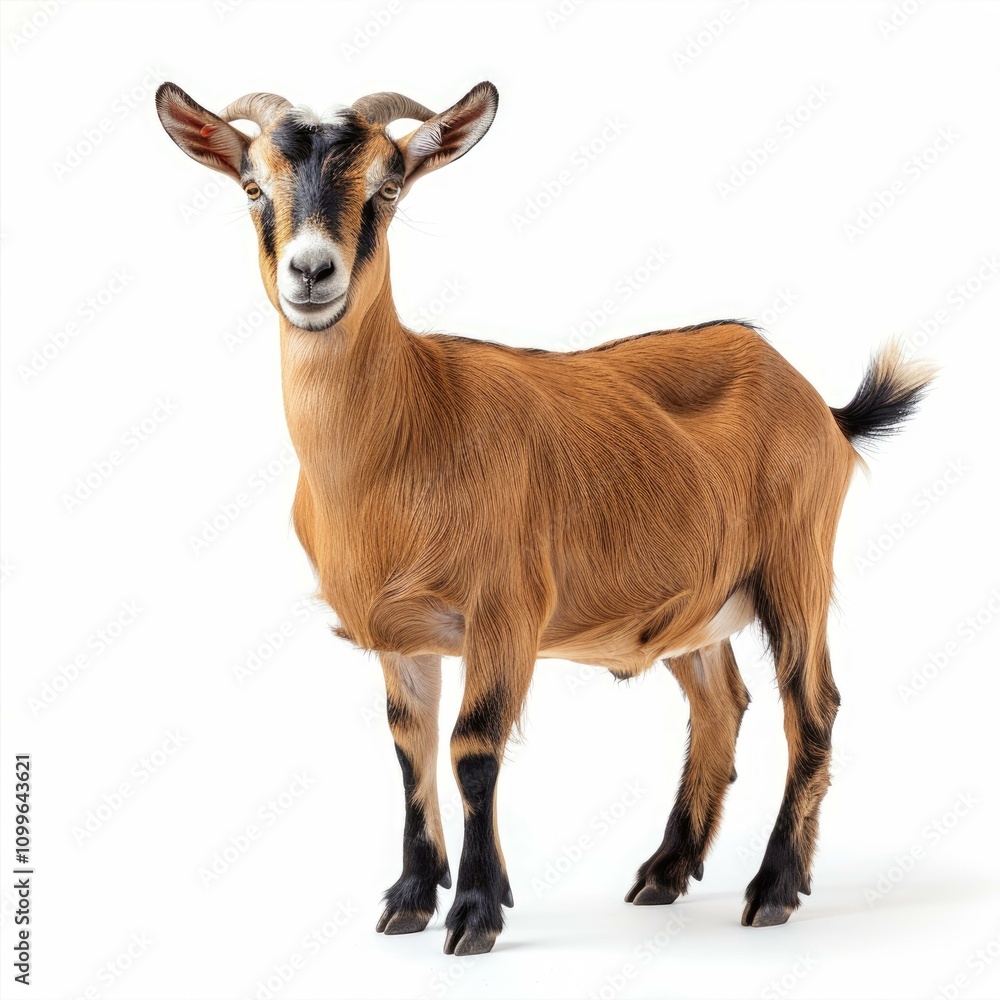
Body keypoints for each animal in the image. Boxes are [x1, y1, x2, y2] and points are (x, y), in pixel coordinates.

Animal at [156, 80, 934, 956]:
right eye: (252, 186)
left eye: (388, 187)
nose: (312, 271)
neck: (414, 420)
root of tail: (823, 408)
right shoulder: (401, 638)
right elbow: (409, 747)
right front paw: (410, 899)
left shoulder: (506, 613)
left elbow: (472, 748)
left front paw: (474, 913)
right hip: (695, 605)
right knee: (721, 706)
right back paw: (666, 872)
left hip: (797, 568)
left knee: (814, 709)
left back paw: (772, 888)